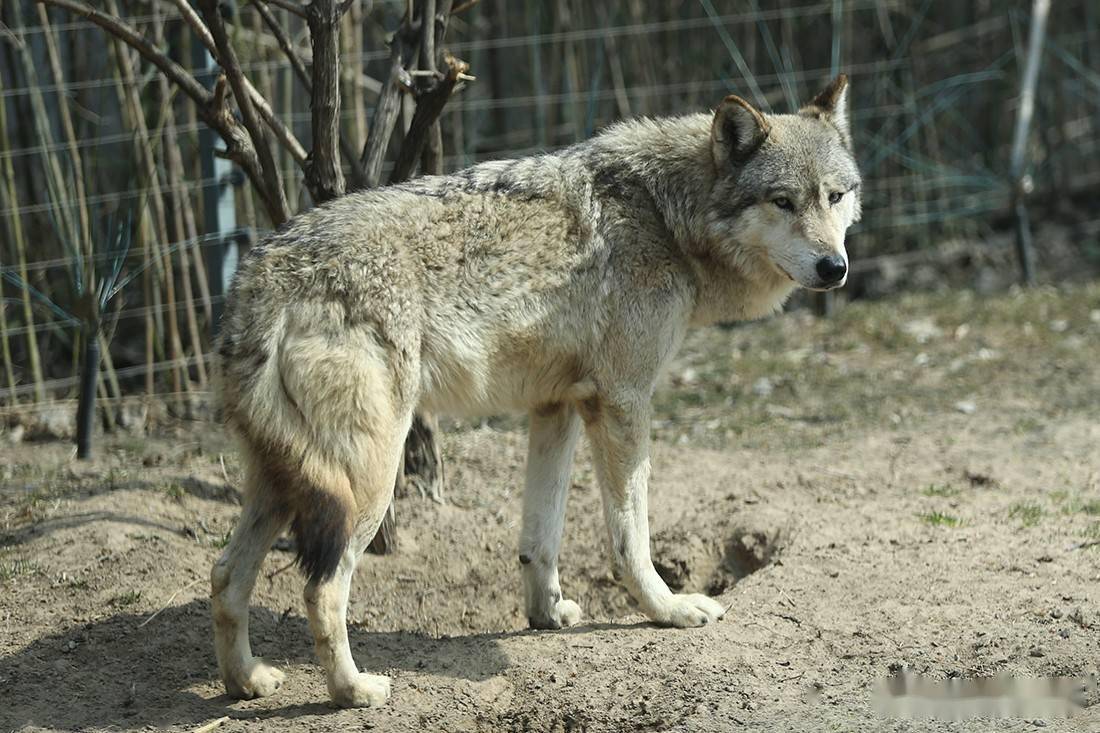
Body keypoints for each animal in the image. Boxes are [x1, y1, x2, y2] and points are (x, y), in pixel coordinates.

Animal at [207, 72, 858, 704]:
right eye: (782, 201)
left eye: (835, 196)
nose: (836, 268)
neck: (664, 214)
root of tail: (257, 281)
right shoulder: (623, 402)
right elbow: (631, 536)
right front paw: (667, 609)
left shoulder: (557, 405)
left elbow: (540, 536)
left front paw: (546, 614)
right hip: (365, 480)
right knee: (321, 589)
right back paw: (353, 691)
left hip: (284, 482)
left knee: (224, 575)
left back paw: (247, 682)